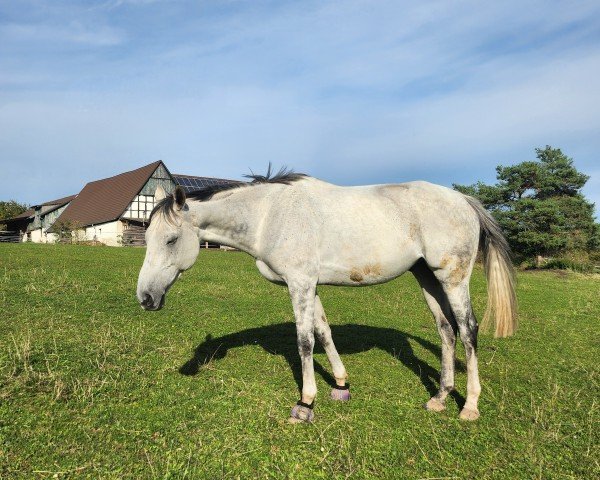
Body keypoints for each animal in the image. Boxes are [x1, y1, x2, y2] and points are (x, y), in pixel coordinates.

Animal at [136, 169, 516, 424]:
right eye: (148, 236)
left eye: (171, 240)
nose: (145, 298)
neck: (269, 216)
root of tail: (464, 200)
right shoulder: (310, 284)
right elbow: (323, 331)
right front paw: (341, 384)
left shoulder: (300, 284)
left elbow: (304, 341)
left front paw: (306, 404)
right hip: (427, 277)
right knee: (446, 330)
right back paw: (440, 396)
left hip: (453, 279)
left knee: (467, 330)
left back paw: (469, 406)